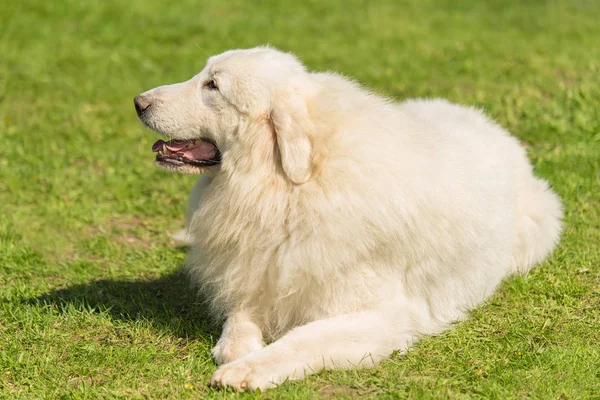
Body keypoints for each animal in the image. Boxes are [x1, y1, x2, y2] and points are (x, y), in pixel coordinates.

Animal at [135, 47, 564, 390]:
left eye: (213, 86)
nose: (138, 102)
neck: (291, 189)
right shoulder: (259, 276)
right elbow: (238, 320)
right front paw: (237, 350)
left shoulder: (378, 317)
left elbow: (303, 339)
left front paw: (246, 370)